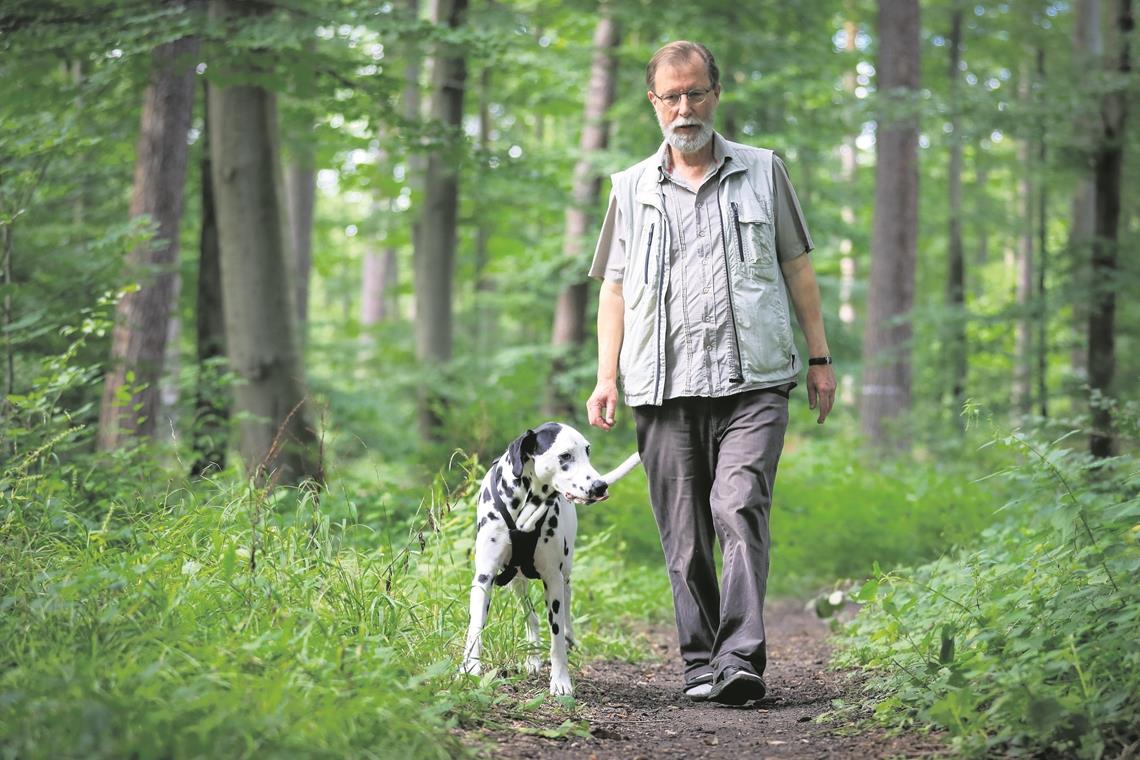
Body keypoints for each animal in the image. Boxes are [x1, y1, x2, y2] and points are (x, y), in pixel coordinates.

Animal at [462, 421, 642, 697]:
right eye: (565, 456)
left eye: (587, 450)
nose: (600, 486)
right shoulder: (484, 577)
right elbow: (476, 628)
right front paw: (469, 668)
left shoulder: (553, 580)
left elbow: (556, 637)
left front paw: (560, 681)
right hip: (516, 582)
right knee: (531, 616)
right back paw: (532, 658)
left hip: (565, 576)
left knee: (565, 616)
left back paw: (568, 641)